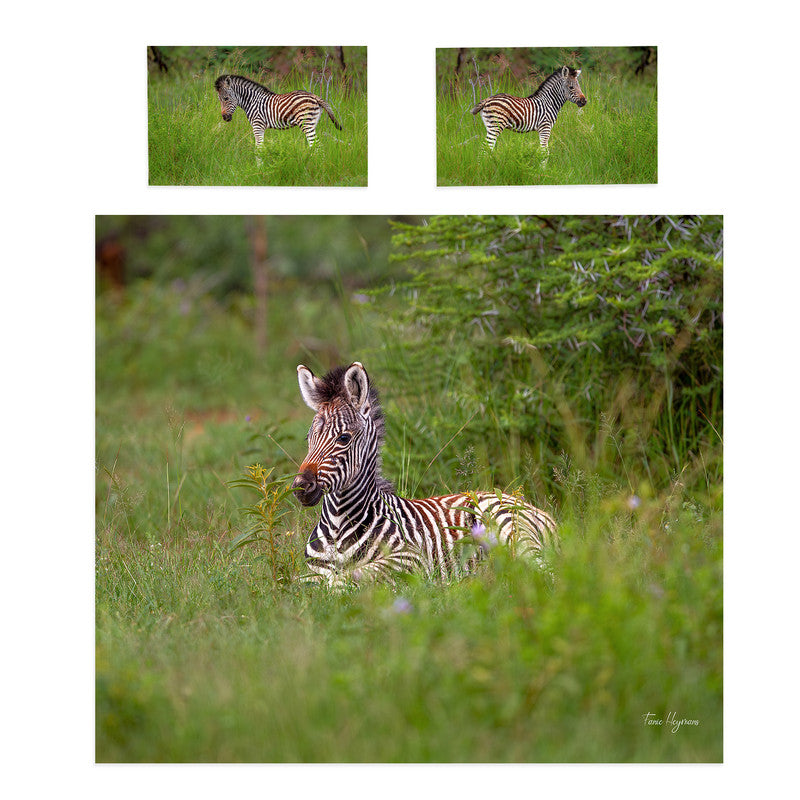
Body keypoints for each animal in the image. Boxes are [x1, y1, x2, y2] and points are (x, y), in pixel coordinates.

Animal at [214, 74, 342, 148]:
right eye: (219, 99)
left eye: (226, 98)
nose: (225, 117)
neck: (252, 101)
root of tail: (315, 96)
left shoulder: (257, 125)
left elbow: (259, 149)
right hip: (313, 122)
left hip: (306, 123)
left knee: (316, 145)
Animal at [291, 362, 556, 587]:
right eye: (308, 439)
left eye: (344, 438)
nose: (301, 486)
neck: (338, 527)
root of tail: (533, 507)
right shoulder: (310, 573)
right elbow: (308, 583)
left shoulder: (412, 559)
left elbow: (346, 578)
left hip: (507, 525)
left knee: (545, 570)